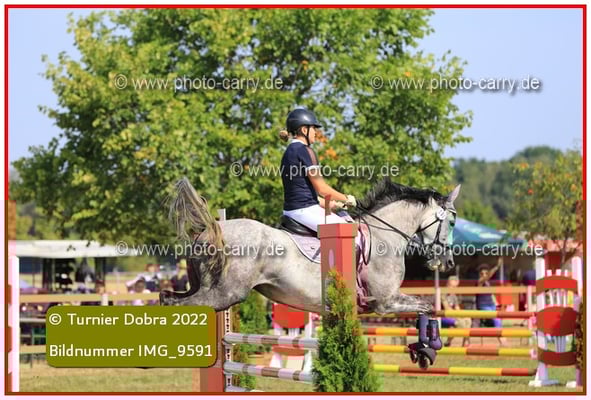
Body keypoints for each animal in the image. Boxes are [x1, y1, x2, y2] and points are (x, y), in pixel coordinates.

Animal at [160, 177, 460, 315]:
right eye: (453, 221)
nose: (448, 263)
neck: (383, 235)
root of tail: (213, 230)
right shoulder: (386, 302)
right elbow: (427, 308)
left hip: (201, 287)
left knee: (167, 297)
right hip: (224, 294)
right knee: (180, 304)